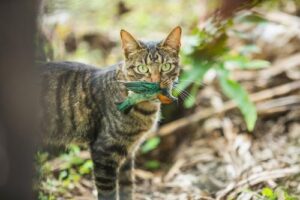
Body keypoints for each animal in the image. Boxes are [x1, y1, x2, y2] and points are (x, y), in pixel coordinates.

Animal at [39, 27, 180, 200]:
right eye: (142, 68)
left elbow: (127, 186)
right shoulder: (104, 151)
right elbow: (108, 193)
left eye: (166, 66)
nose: (156, 83)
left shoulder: (129, 152)